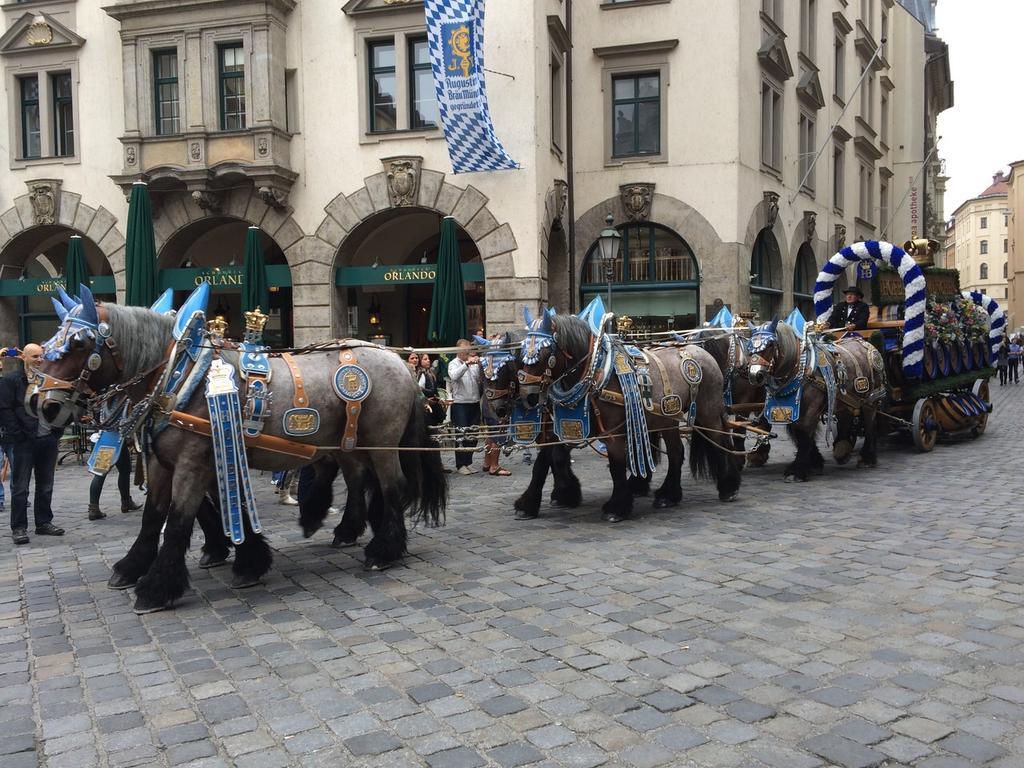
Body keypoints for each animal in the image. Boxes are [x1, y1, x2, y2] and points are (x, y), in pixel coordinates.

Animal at [33, 286, 444, 618]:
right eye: (54, 340)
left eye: (79, 344)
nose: (44, 406)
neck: (181, 376)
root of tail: (398, 360)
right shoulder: (168, 461)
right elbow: (155, 516)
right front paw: (135, 566)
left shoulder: (193, 461)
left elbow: (179, 519)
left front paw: (156, 588)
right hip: (349, 441)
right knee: (359, 479)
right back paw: (344, 527)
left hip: (382, 441)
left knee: (392, 486)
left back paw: (383, 550)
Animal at [516, 313, 741, 524]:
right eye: (522, 352)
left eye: (546, 352)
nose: (528, 397)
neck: (594, 371)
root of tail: (700, 350)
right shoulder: (562, 427)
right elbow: (543, 463)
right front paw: (529, 504)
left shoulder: (614, 432)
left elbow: (616, 466)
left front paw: (616, 508)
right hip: (667, 418)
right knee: (677, 452)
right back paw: (668, 495)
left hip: (707, 410)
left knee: (719, 442)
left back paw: (728, 487)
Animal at [745, 319, 888, 481]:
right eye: (749, 346)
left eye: (770, 345)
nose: (755, 375)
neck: (799, 370)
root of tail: (867, 344)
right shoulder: (792, 408)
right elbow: (800, 433)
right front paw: (815, 463)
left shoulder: (811, 407)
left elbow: (804, 432)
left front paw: (797, 470)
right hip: (847, 400)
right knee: (846, 418)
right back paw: (842, 450)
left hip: (870, 400)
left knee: (870, 425)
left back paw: (867, 458)